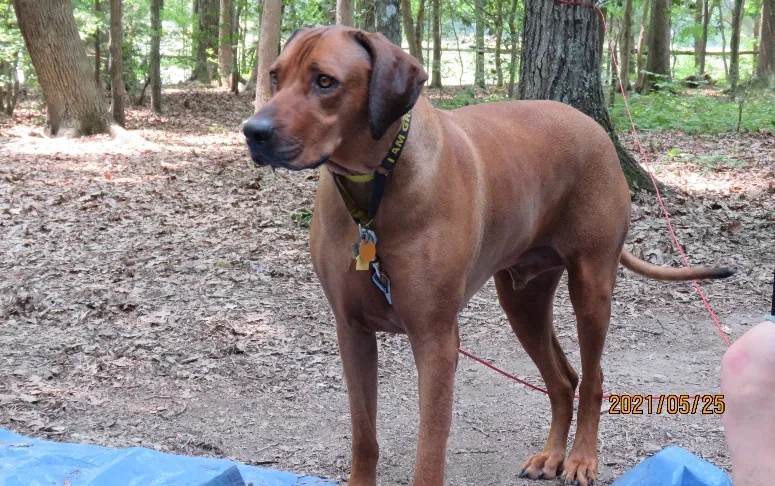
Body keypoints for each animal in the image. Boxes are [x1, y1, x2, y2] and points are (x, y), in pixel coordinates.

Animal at [242, 26, 732, 486]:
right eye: (275, 75)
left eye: (325, 81)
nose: (253, 132)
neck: (374, 189)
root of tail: (593, 126)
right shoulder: (352, 331)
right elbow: (364, 436)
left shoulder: (436, 338)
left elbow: (430, 448)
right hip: (522, 299)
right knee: (563, 380)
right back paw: (551, 455)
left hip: (592, 285)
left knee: (592, 381)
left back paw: (580, 460)